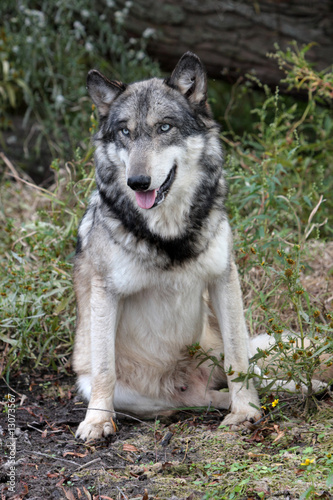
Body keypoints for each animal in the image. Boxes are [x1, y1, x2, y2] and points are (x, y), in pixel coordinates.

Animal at [71, 51, 328, 442]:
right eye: (125, 132)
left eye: (164, 128)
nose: (137, 181)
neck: (169, 235)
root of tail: (179, 381)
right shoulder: (105, 292)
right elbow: (104, 370)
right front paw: (98, 422)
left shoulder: (224, 278)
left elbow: (238, 360)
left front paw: (245, 413)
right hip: (142, 396)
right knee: (195, 400)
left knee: (252, 372)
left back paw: (303, 389)